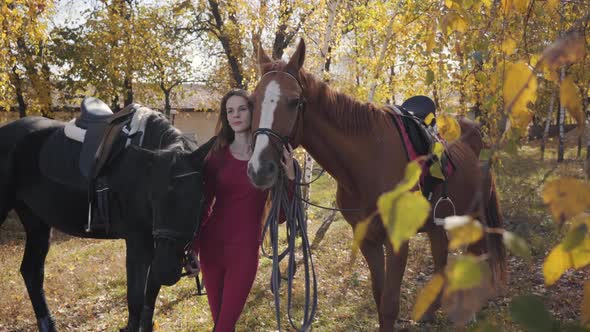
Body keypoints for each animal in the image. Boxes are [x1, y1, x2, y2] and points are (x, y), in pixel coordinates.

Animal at [0, 107, 213, 330]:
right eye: (153, 197)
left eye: (198, 197)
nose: (167, 271)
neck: (141, 171)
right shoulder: (138, 242)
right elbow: (135, 300)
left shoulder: (157, 245)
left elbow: (149, 298)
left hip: (37, 222)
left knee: (32, 272)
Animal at [247, 39, 506, 330]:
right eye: (253, 101)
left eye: (294, 101)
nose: (260, 169)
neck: (369, 160)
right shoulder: (367, 239)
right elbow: (379, 298)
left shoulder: (397, 242)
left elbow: (390, 304)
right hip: (438, 223)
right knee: (441, 257)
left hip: (475, 216)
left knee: (477, 254)